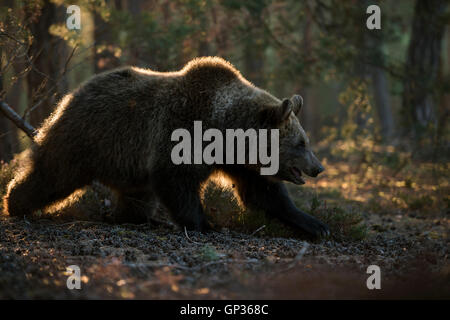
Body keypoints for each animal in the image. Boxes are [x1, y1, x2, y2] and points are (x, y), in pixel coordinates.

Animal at [4, 57, 330, 238]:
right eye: (301, 143)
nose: (318, 167)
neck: (226, 132)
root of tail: (73, 93)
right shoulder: (182, 132)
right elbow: (177, 181)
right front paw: (205, 223)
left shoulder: (239, 162)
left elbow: (263, 194)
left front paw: (316, 225)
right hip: (88, 135)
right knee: (53, 174)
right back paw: (15, 203)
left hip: (125, 162)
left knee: (138, 196)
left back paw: (135, 217)